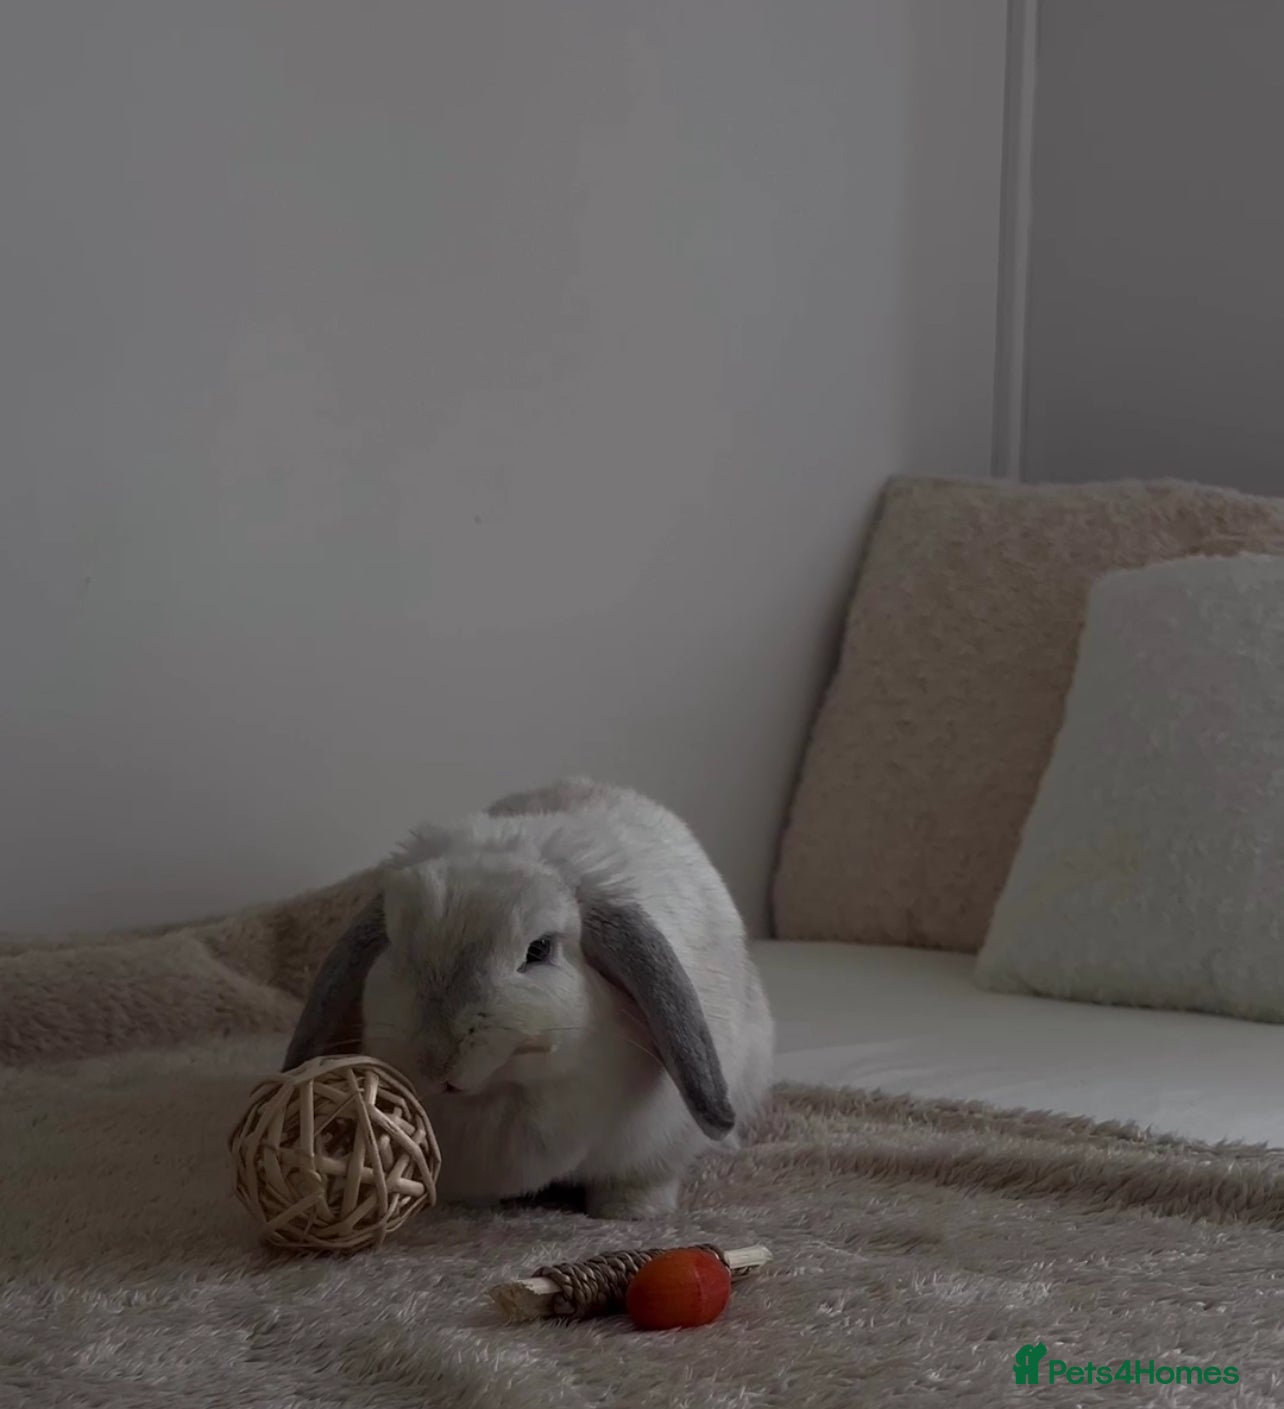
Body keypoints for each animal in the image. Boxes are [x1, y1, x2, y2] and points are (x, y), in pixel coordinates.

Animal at [283, 776, 775, 1218]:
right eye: (395, 946)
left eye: (538, 950)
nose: (437, 1062)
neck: (503, 1091)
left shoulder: (655, 1150)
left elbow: (640, 1181)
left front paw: (630, 1214)